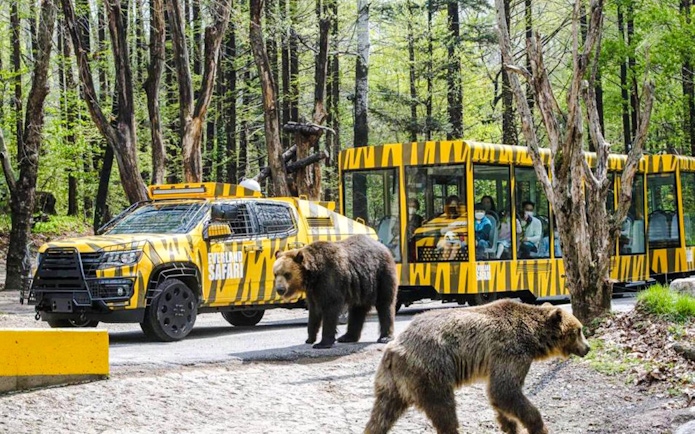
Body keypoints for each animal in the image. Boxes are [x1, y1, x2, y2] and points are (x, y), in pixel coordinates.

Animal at [364, 299, 591, 434]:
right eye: (579, 330)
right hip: (430, 370)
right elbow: (505, 389)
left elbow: (497, 395)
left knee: (381, 415)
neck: (534, 339)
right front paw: (538, 427)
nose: (587, 348)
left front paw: (509, 425)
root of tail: (394, 348)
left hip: (391, 383)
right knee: (444, 409)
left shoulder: (497, 361)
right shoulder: (510, 350)